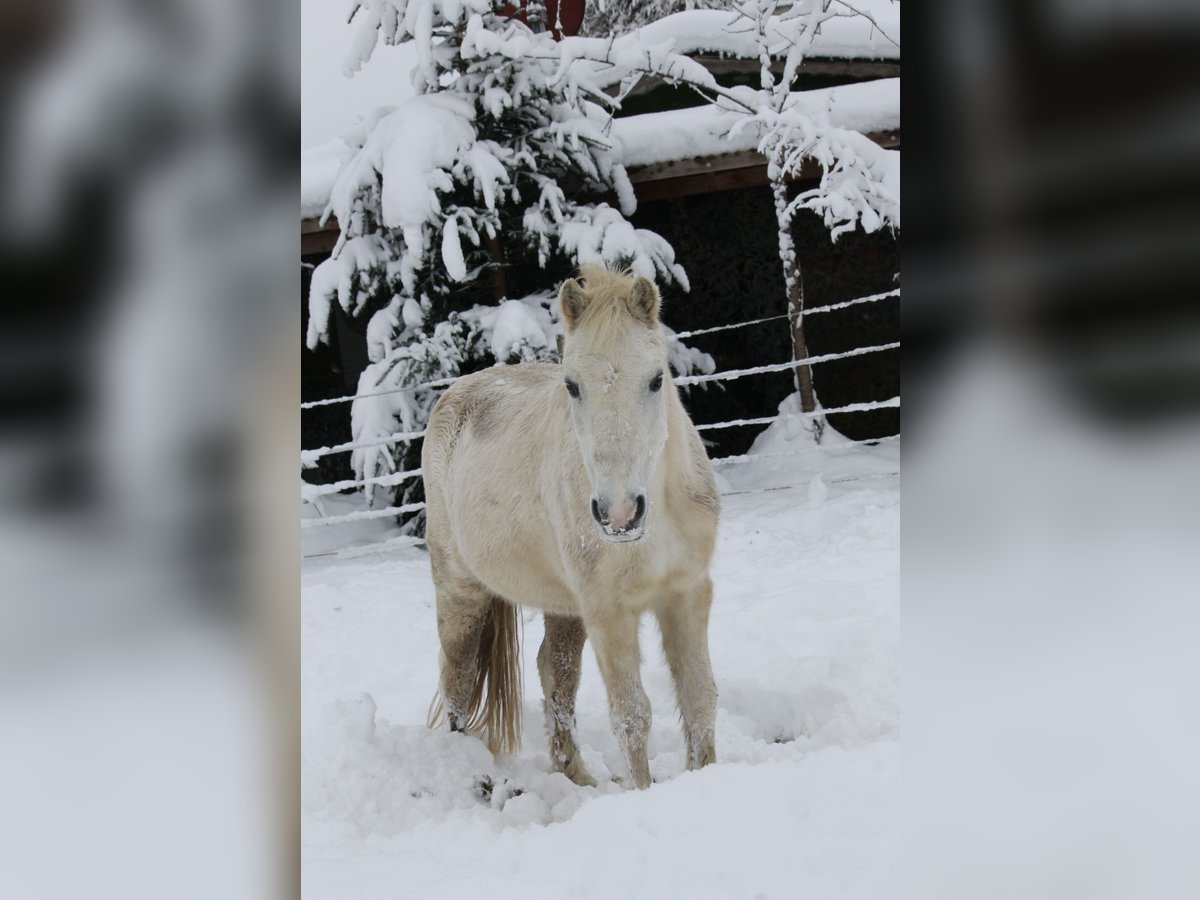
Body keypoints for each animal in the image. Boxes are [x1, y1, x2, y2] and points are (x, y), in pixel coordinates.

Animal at [422, 267, 715, 787]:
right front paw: (643, 791)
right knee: (458, 677)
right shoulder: (609, 613)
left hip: (564, 606)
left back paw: (577, 777)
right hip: (460, 591)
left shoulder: (687, 594)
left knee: (554, 674)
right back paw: (471, 777)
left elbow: (699, 699)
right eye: (572, 386)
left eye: (656, 379)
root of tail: (452, 397)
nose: (619, 514)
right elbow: (632, 715)